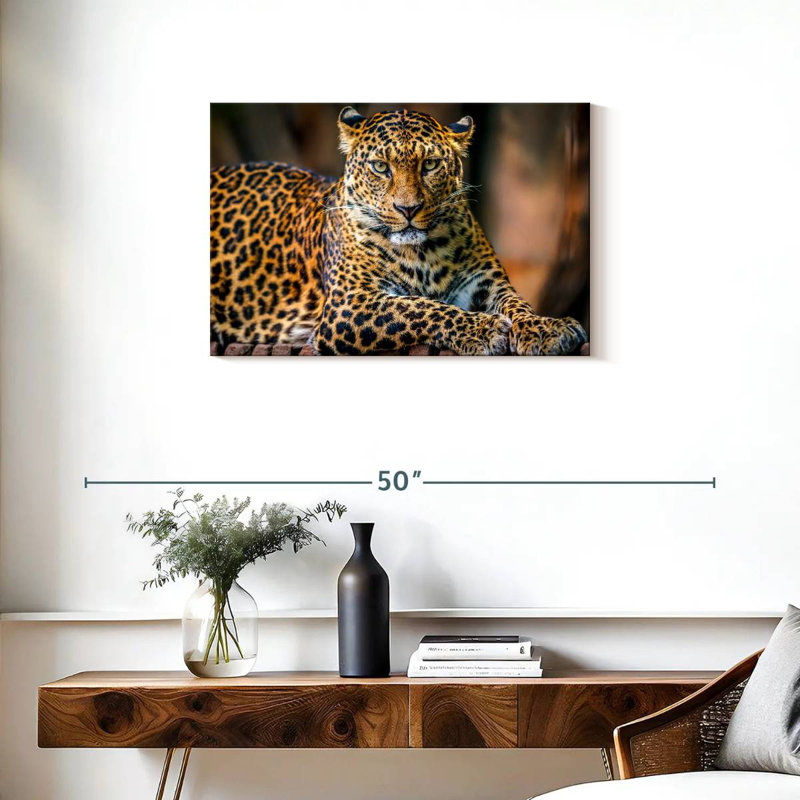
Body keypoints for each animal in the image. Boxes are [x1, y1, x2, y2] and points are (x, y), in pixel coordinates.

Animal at [210, 107, 587, 355]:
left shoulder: (486, 282)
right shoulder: (349, 305)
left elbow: (517, 304)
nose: (408, 209)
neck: (424, 252)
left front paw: (547, 328)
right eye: (380, 167)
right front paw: (483, 328)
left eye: (430, 165)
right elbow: (418, 308)